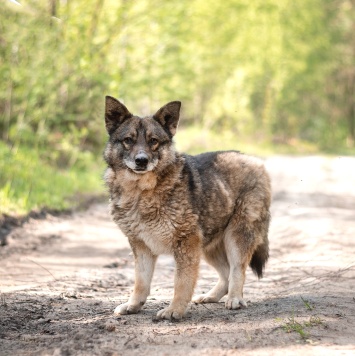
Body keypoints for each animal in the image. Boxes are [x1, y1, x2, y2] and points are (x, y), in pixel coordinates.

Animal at [104, 96, 272, 320]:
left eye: (153, 141)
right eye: (128, 140)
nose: (141, 161)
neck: (142, 192)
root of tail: (256, 162)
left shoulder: (186, 243)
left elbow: (181, 282)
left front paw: (174, 309)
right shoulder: (141, 247)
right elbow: (141, 283)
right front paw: (133, 305)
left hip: (235, 238)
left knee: (237, 269)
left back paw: (235, 299)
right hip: (209, 246)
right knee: (226, 274)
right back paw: (211, 296)